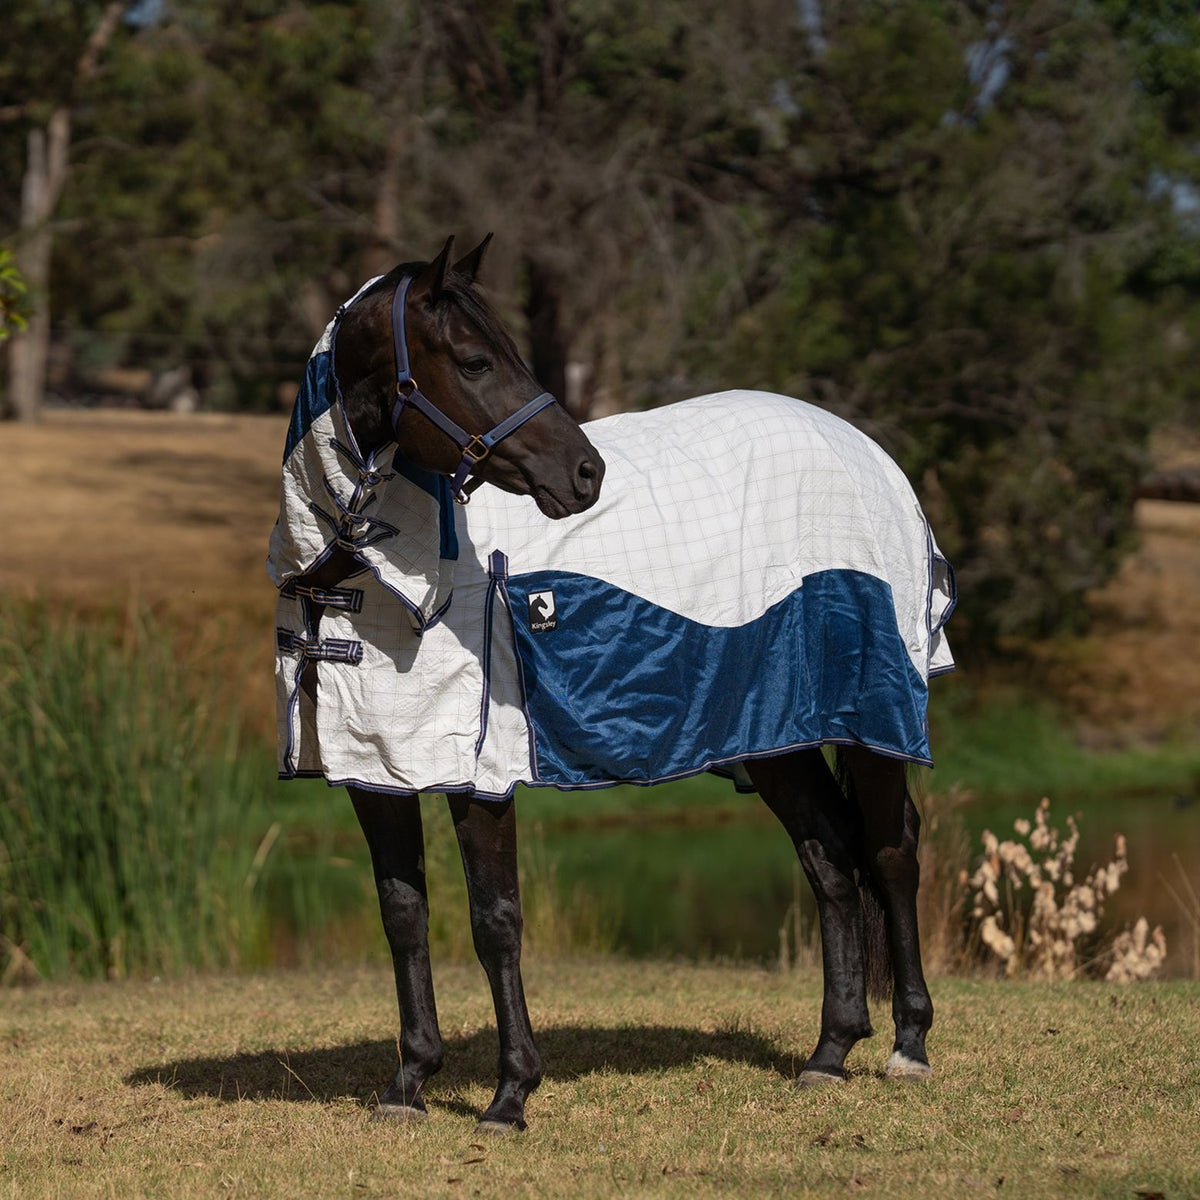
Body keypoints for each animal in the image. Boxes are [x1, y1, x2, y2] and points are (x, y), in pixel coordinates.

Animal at [268, 236, 955, 1134]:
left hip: (872, 713)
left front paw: (510, 1094)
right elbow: (404, 915)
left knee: (889, 850)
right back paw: (829, 1052)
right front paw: (409, 1083)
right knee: (830, 858)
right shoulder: (375, 766)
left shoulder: (478, 772)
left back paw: (909, 1046)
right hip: (776, 731)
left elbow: (495, 921)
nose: (585, 473)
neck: (376, 578)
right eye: (476, 360)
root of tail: (873, 456)